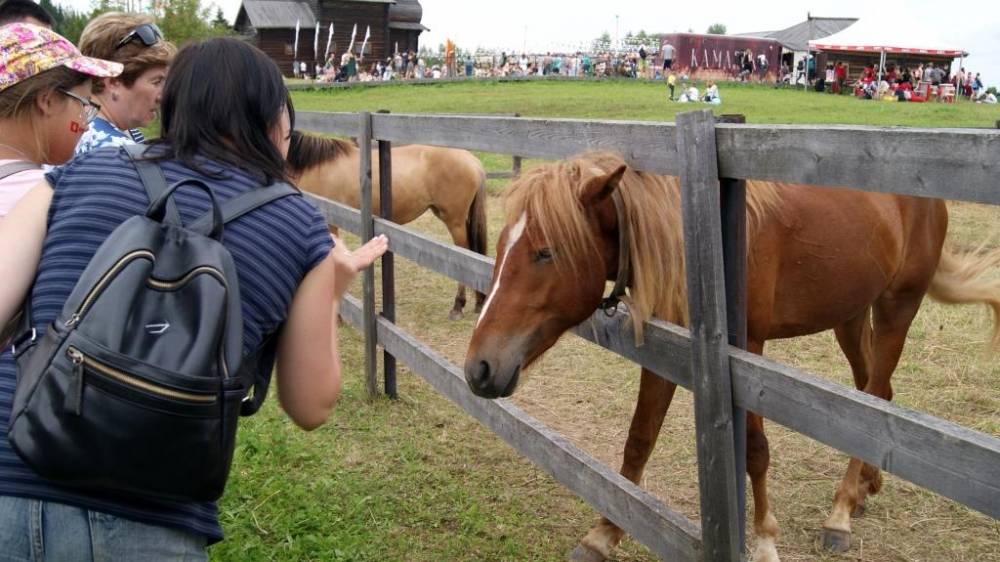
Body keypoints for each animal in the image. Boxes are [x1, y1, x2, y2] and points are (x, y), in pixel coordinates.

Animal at [287, 131, 488, 319]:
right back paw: (479, 302)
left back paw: (458, 306)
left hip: (455, 221)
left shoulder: (329, 224)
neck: (315, 168)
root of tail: (473, 161)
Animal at [463, 152, 1000, 562]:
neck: (701, 248)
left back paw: (841, 513)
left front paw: (764, 539)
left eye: (546, 252)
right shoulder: (668, 351)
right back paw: (867, 486)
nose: (479, 368)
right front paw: (603, 533)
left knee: (875, 395)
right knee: (874, 393)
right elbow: (639, 439)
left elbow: (755, 450)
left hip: (897, 307)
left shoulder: (747, 353)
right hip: (849, 315)